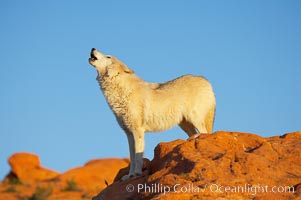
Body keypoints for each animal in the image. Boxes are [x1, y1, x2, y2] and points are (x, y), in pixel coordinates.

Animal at [88, 48, 214, 180]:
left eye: (108, 57)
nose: (93, 48)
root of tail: (205, 81)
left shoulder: (138, 131)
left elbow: (138, 157)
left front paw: (137, 174)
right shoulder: (129, 133)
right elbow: (132, 158)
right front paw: (130, 175)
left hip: (194, 119)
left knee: (205, 133)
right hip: (184, 124)